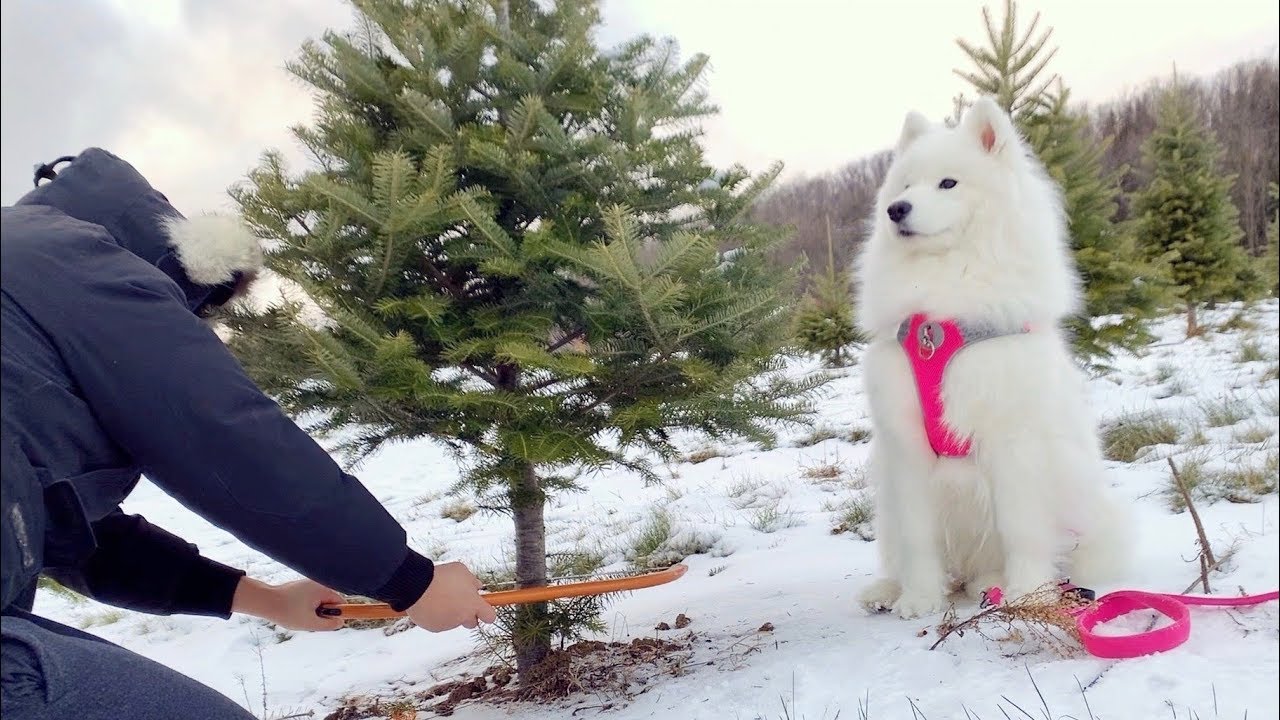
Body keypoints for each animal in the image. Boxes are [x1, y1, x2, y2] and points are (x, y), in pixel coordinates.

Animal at [855, 95, 1126, 620]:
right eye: (905, 186)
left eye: (948, 183)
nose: (896, 209)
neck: (941, 315)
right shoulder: (906, 445)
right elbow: (918, 539)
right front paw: (919, 599)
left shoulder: (1012, 441)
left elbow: (1021, 528)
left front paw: (1028, 595)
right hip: (888, 509)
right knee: (901, 551)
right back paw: (888, 590)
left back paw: (995, 584)